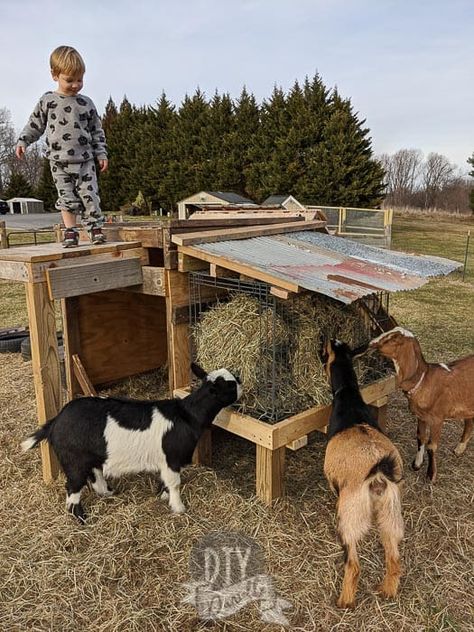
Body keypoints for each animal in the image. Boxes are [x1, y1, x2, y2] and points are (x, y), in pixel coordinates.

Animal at [21, 366, 241, 524]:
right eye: (229, 385)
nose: (240, 380)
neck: (187, 415)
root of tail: (55, 421)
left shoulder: (165, 462)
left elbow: (164, 481)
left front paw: (162, 497)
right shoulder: (172, 458)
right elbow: (175, 483)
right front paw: (179, 508)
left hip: (91, 457)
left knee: (95, 477)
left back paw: (109, 493)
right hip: (73, 460)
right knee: (73, 487)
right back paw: (82, 519)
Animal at [370, 328, 474, 482]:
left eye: (394, 338)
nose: (371, 342)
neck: (424, 379)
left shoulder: (437, 419)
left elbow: (431, 446)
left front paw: (431, 474)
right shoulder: (421, 417)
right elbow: (420, 438)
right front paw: (417, 464)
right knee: (469, 422)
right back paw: (459, 449)